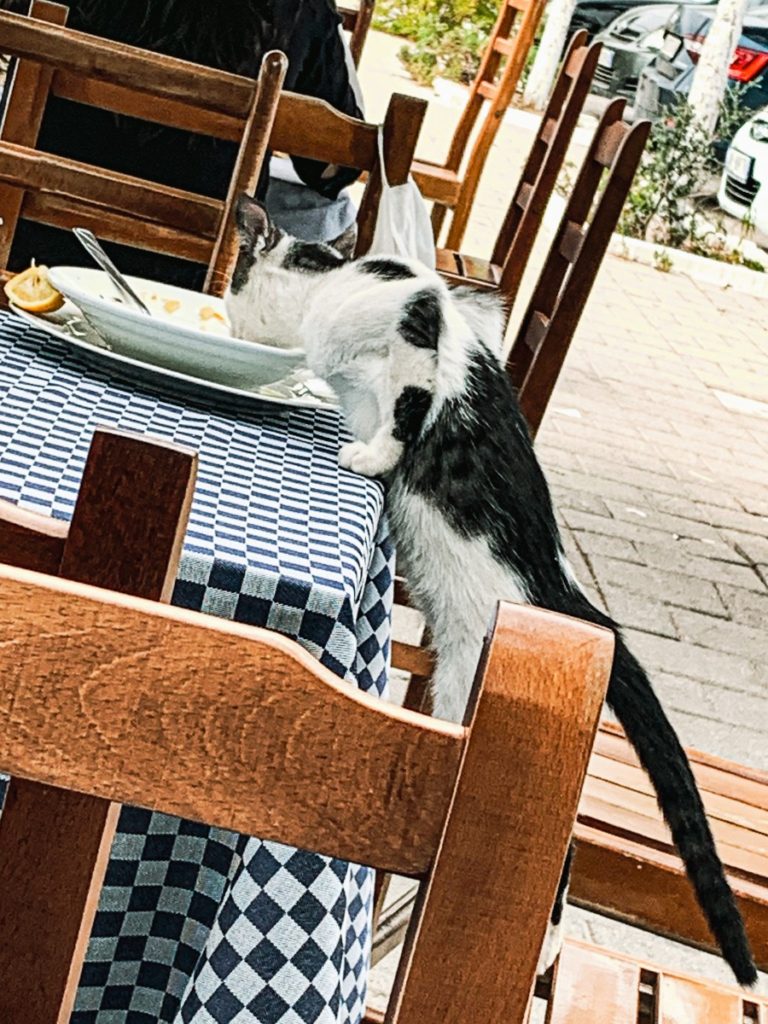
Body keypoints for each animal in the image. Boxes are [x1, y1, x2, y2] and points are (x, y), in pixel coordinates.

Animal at [227, 195, 757, 987]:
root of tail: (577, 605)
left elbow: (410, 401)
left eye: (234, 286)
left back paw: (548, 947)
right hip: (459, 689)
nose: (225, 321)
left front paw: (372, 455)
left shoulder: (419, 312)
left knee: (562, 856)